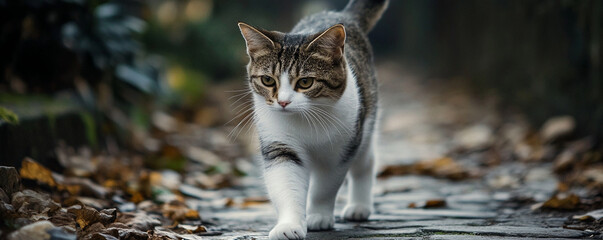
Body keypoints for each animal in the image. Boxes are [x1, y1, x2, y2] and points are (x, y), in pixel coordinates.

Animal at [238, 0, 390, 239]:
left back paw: (359, 206)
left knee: (366, 160)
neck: (306, 119)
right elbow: (286, 182)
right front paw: (289, 225)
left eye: (305, 82)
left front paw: (318, 215)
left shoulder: (340, 151)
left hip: (365, 122)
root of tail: (343, 15)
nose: (283, 102)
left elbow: (325, 188)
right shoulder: (280, 144)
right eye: (268, 80)